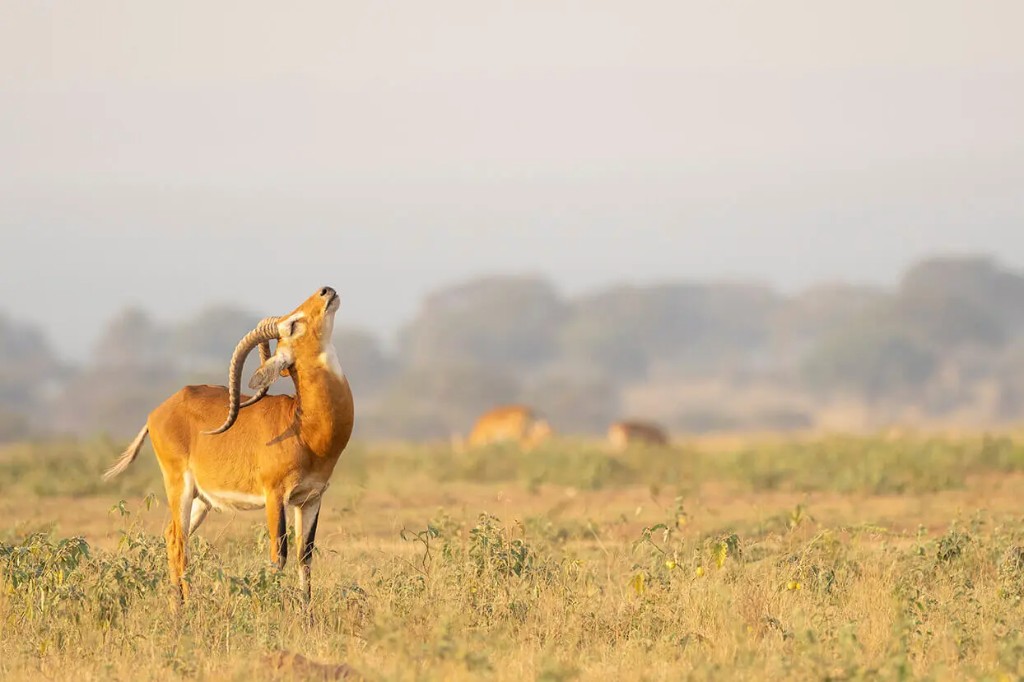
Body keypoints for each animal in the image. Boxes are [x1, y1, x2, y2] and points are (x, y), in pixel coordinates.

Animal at [102, 286, 354, 607]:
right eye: (292, 324)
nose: (326, 291)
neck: (305, 428)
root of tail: (159, 411)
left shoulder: (311, 498)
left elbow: (304, 557)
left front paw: (306, 615)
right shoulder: (274, 496)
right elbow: (278, 556)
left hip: (202, 499)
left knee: (172, 536)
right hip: (179, 487)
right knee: (179, 541)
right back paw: (184, 609)